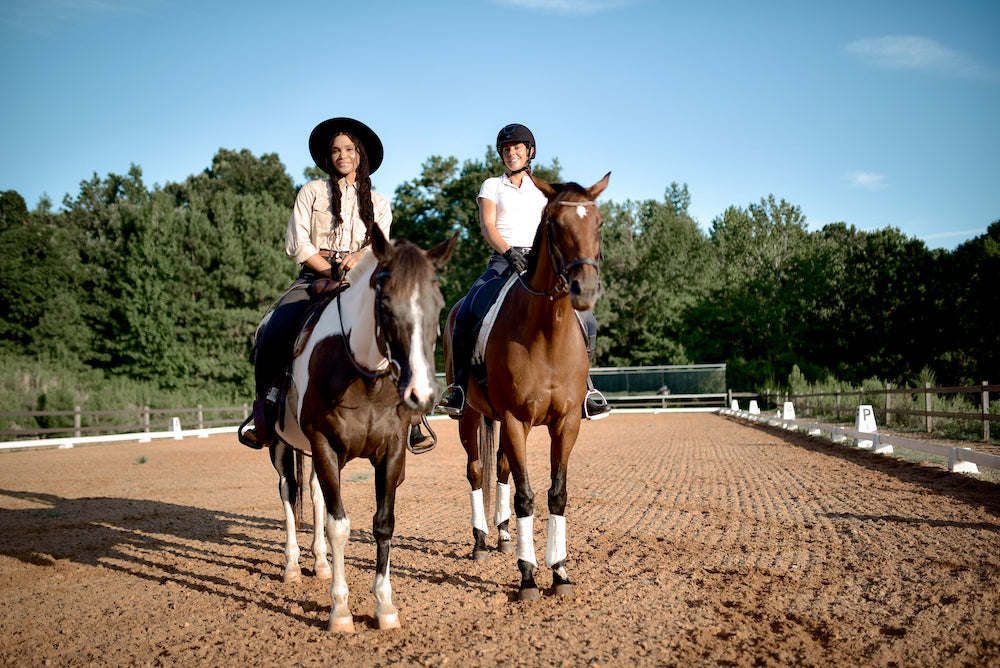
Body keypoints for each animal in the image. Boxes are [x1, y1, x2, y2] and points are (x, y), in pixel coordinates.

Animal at [262, 226, 458, 632]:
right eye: (386, 305)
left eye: (438, 304)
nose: (422, 394)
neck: (362, 374)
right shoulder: (324, 445)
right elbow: (339, 526)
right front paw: (340, 611)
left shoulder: (391, 452)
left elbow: (383, 523)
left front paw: (385, 607)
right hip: (280, 445)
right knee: (288, 492)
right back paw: (292, 565)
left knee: (314, 494)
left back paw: (320, 563)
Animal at [444, 172, 608, 600]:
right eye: (555, 224)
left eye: (598, 224)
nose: (584, 289)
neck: (547, 332)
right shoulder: (516, 420)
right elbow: (525, 497)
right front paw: (529, 577)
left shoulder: (567, 423)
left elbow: (556, 494)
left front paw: (561, 573)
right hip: (469, 415)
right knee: (476, 471)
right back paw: (481, 542)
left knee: (500, 468)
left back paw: (503, 537)